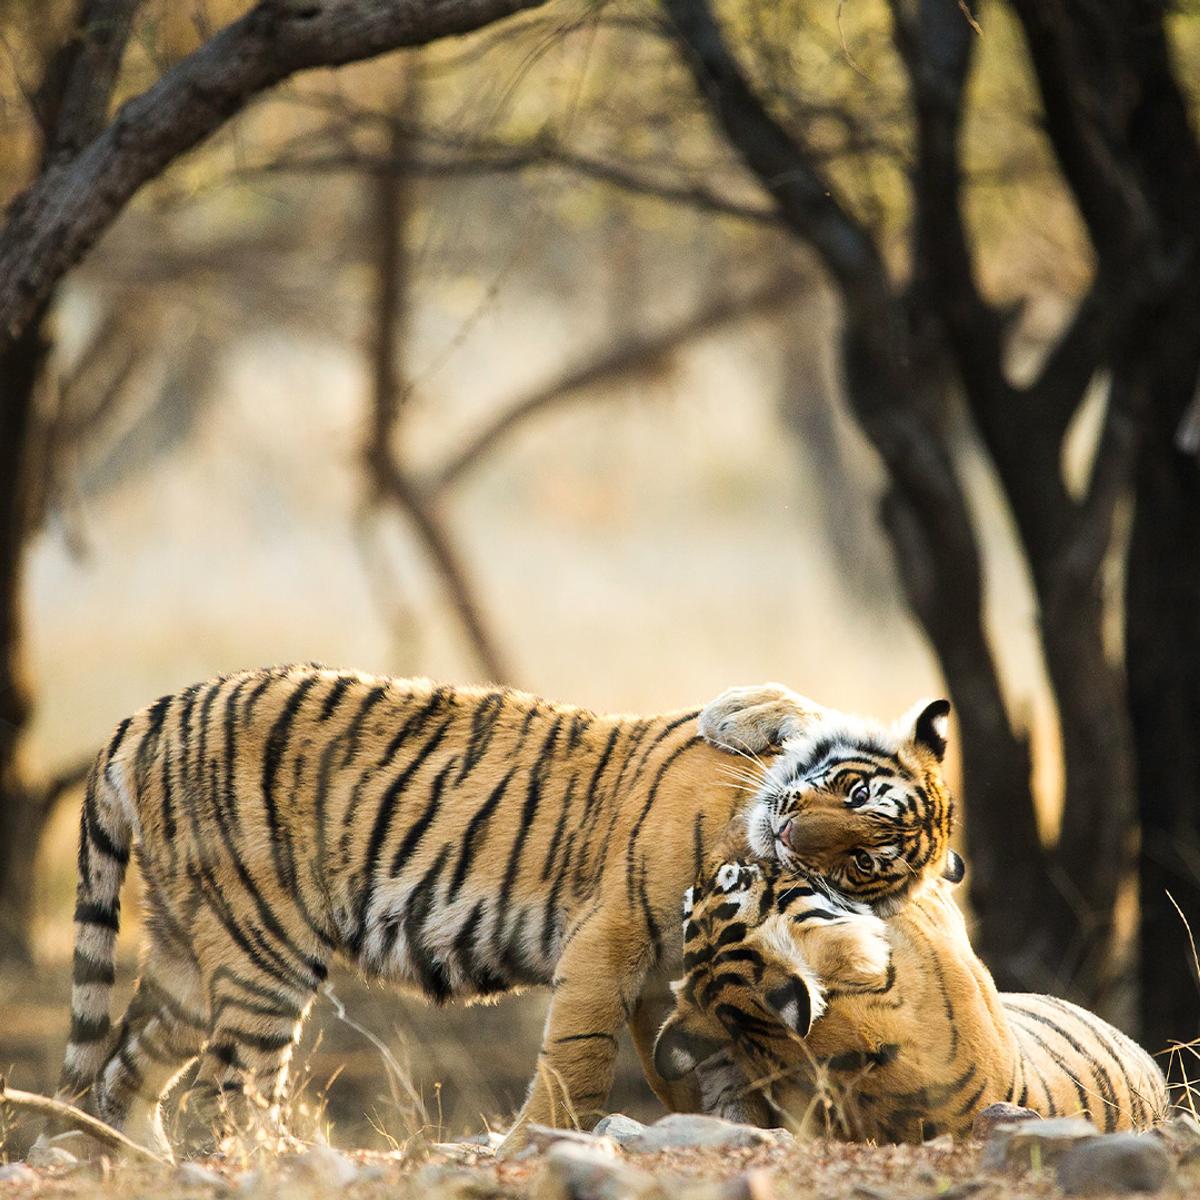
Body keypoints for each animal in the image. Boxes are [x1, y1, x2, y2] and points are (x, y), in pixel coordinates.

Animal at [58, 666, 836, 1157]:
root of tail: (150, 716)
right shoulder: (612, 936)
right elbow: (579, 1055)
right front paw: (534, 1141)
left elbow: (718, 1072)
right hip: (262, 950)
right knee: (230, 1088)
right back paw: (281, 1161)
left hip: (189, 953)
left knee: (126, 1067)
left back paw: (143, 1165)